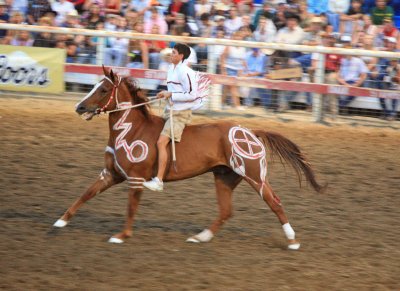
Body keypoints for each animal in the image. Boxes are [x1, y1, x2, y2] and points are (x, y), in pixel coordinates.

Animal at [53, 66, 324, 251]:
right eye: (94, 86)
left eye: (104, 89)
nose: (79, 108)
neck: (131, 130)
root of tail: (250, 132)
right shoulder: (110, 174)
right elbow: (86, 194)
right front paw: (61, 221)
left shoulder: (136, 179)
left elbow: (130, 208)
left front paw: (121, 236)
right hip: (224, 178)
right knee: (226, 211)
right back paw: (200, 237)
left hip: (255, 176)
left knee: (275, 202)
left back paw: (292, 241)